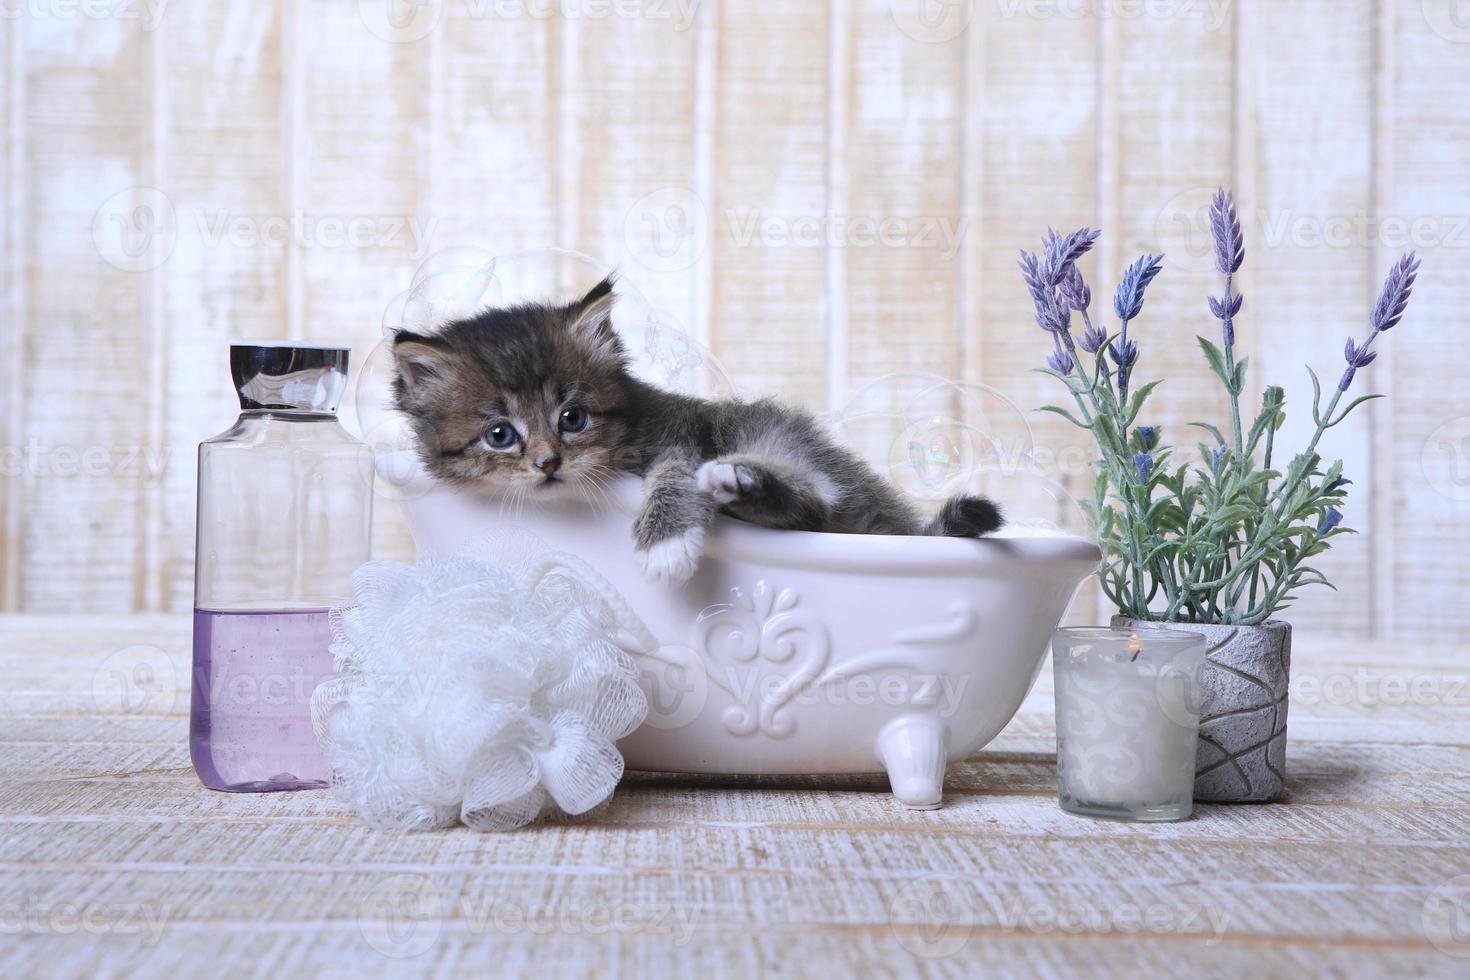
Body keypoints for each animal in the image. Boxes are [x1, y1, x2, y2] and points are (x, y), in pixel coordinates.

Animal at [393, 274, 999, 581]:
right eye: (500, 434)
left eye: (573, 418)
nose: (547, 463)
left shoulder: (682, 435)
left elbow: (674, 475)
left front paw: (665, 541)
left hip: (769, 434)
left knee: (814, 502)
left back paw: (736, 480)